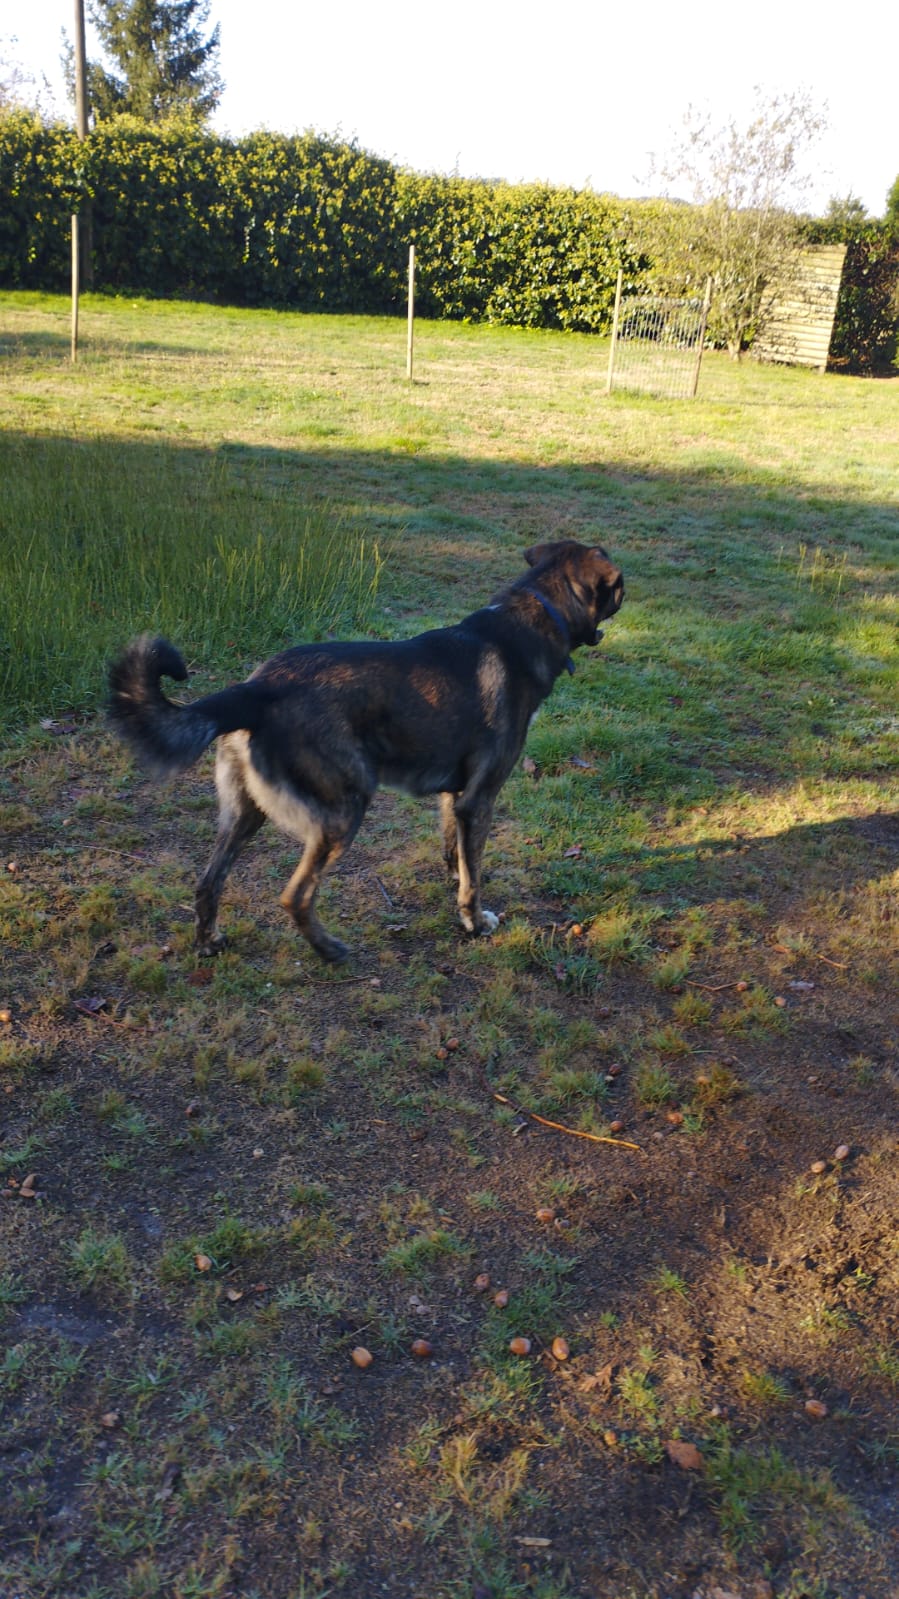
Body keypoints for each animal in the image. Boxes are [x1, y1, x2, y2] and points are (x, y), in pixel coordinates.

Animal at [106, 537, 623, 959]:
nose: (626, 594)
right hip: (343, 811)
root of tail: (256, 690)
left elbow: (456, 855)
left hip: (245, 813)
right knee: (295, 895)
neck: (535, 614)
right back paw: (330, 950)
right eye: (619, 590)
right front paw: (475, 923)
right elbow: (473, 878)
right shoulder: (480, 799)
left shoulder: (453, 798)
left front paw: (457, 883)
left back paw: (209, 942)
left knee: (207, 882)